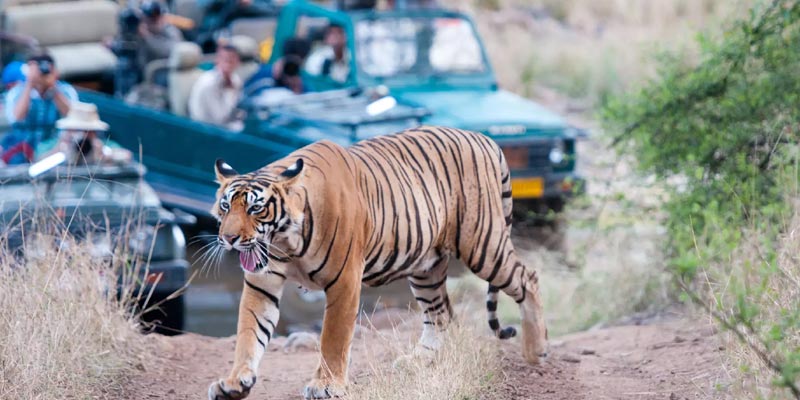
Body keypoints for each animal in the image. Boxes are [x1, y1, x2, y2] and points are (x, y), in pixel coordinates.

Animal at [206, 126, 548, 400]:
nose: (229, 238)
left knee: (528, 278)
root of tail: (484, 138)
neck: (285, 241)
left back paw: (536, 351)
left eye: (256, 208)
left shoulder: (344, 281)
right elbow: (249, 332)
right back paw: (418, 361)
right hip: (426, 267)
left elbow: (333, 337)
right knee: (440, 314)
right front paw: (234, 383)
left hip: (482, 245)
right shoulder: (261, 284)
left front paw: (326, 385)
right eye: (225, 206)